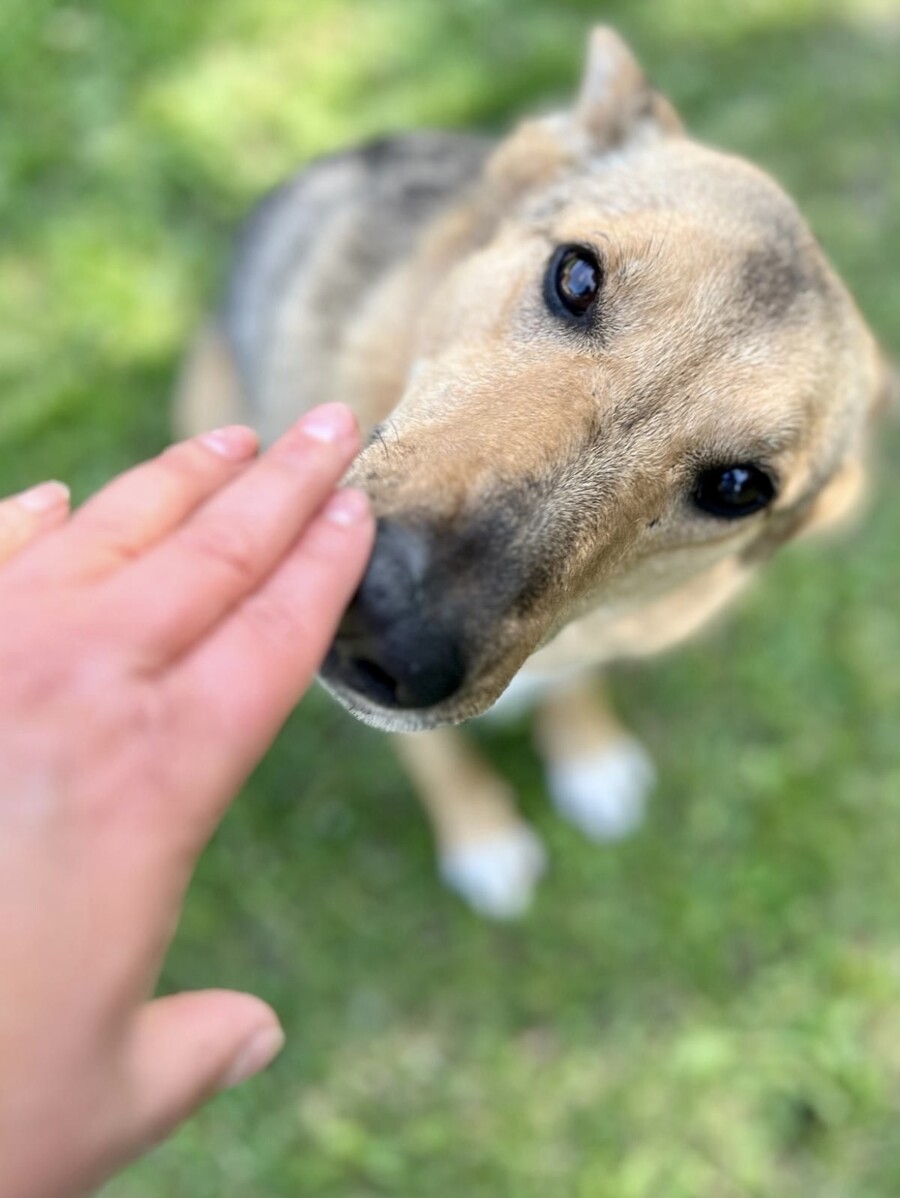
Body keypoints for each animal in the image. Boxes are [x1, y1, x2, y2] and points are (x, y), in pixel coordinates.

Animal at [176, 28, 886, 918]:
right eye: (575, 275)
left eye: (738, 489)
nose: (385, 626)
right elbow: (436, 755)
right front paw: (481, 834)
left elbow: (574, 682)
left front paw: (586, 754)